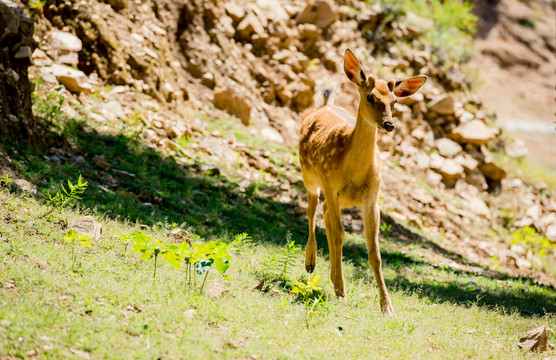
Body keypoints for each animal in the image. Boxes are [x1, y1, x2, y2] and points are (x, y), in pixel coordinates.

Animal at [300, 48, 426, 316]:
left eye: (394, 101)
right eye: (370, 96)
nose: (389, 124)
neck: (353, 171)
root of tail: (321, 106)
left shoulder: (372, 198)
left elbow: (375, 253)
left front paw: (387, 307)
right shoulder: (331, 186)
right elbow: (340, 235)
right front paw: (341, 291)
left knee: (324, 213)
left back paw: (330, 274)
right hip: (310, 176)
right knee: (312, 210)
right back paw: (311, 262)